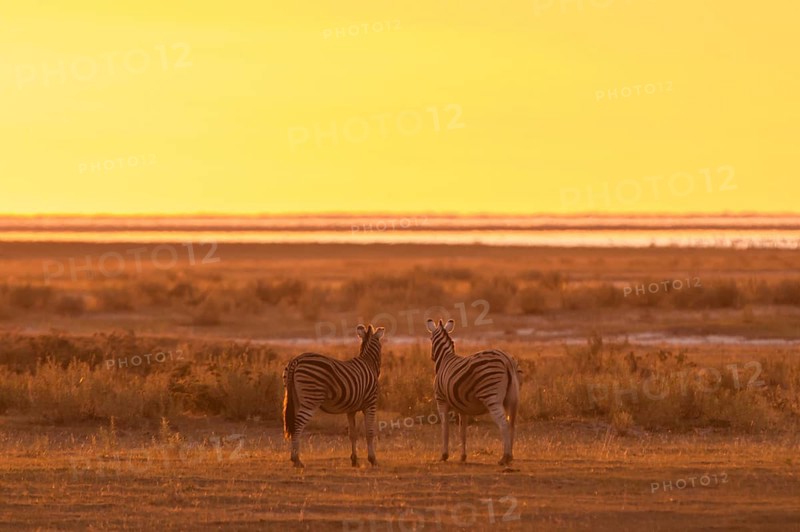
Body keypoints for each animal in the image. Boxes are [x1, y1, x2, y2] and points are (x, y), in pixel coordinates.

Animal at [283, 324, 385, 468]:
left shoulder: (351, 410)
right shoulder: (371, 404)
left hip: (294, 399)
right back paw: (296, 459)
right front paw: (372, 459)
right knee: (297, 426)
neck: (369, 362)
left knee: (293, 425)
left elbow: (352, 434)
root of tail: (296, 360)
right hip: (311, 399)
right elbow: (370, 432)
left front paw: (354, 460)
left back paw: (295, 458)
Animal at [426, 318, 522, 466]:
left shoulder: (441, 400)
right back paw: (510, 456)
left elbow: (445, 428)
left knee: (503, 424)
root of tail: (506, 360)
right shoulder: (462, 407)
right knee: (511, 423)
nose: (431, 357)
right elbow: (462, 431)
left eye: (431, 339)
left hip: (491, 396)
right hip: (512, 398)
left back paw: (504, 457)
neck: (445, 358)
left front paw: (444, 455)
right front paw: (463, 456)